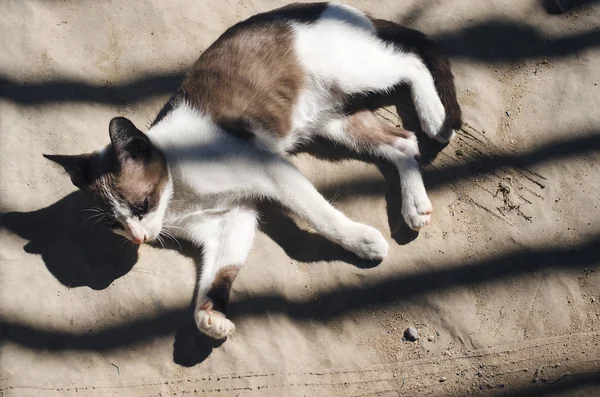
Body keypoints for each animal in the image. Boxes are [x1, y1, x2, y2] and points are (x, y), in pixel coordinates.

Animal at [44, 1, 462, 338]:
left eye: (141, 205)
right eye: (115, 224)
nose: (137, 237)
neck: (178, 198)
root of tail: (330, 6)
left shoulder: (273, 172)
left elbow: (320, 215)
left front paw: (361, 240)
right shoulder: (233, 221)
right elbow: (218, 273)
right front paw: (210, 318)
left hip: (352, 73)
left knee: (409, 61)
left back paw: (435, 117)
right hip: (333, 120)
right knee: (402, 141)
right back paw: (415, 205)